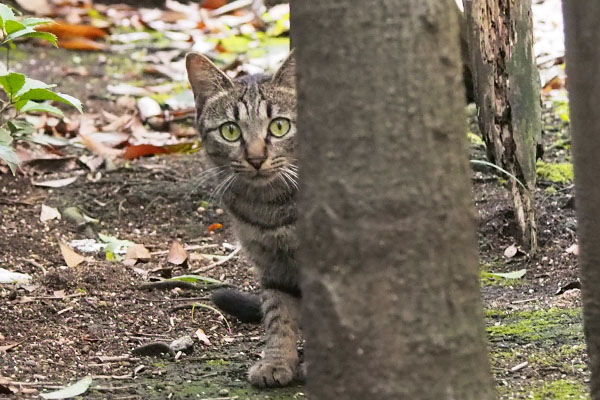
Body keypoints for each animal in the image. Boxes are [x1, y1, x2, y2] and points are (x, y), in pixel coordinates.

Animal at [186, 50, 302, 388]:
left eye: (280, 126)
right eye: (230, 130)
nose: (256, 158)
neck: (271, 208)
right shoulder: (273, 265)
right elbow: (279, 316)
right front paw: (277, 361)